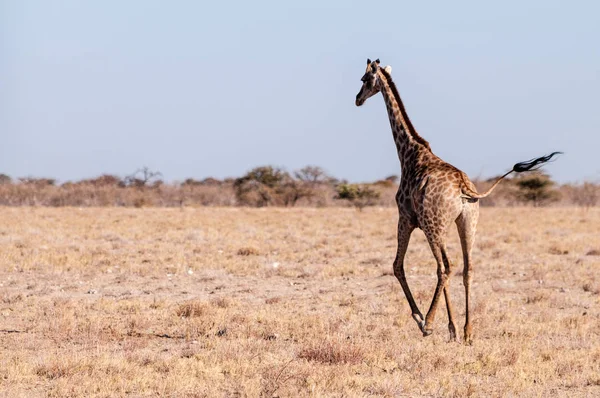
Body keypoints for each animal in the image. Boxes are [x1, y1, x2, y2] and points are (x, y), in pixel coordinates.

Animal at [356, 58, 556, 342]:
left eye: (364, 79)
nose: (357, 99)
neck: (408, 153)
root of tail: (465, 188)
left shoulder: (405, 218)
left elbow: (398, 266)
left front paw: (423, 319)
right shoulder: (437, 224)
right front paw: (451, 329)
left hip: (434, 225)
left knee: (444, 268)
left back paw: (428, 323)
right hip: (467, 222)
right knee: (466, 268)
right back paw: (468, 331)